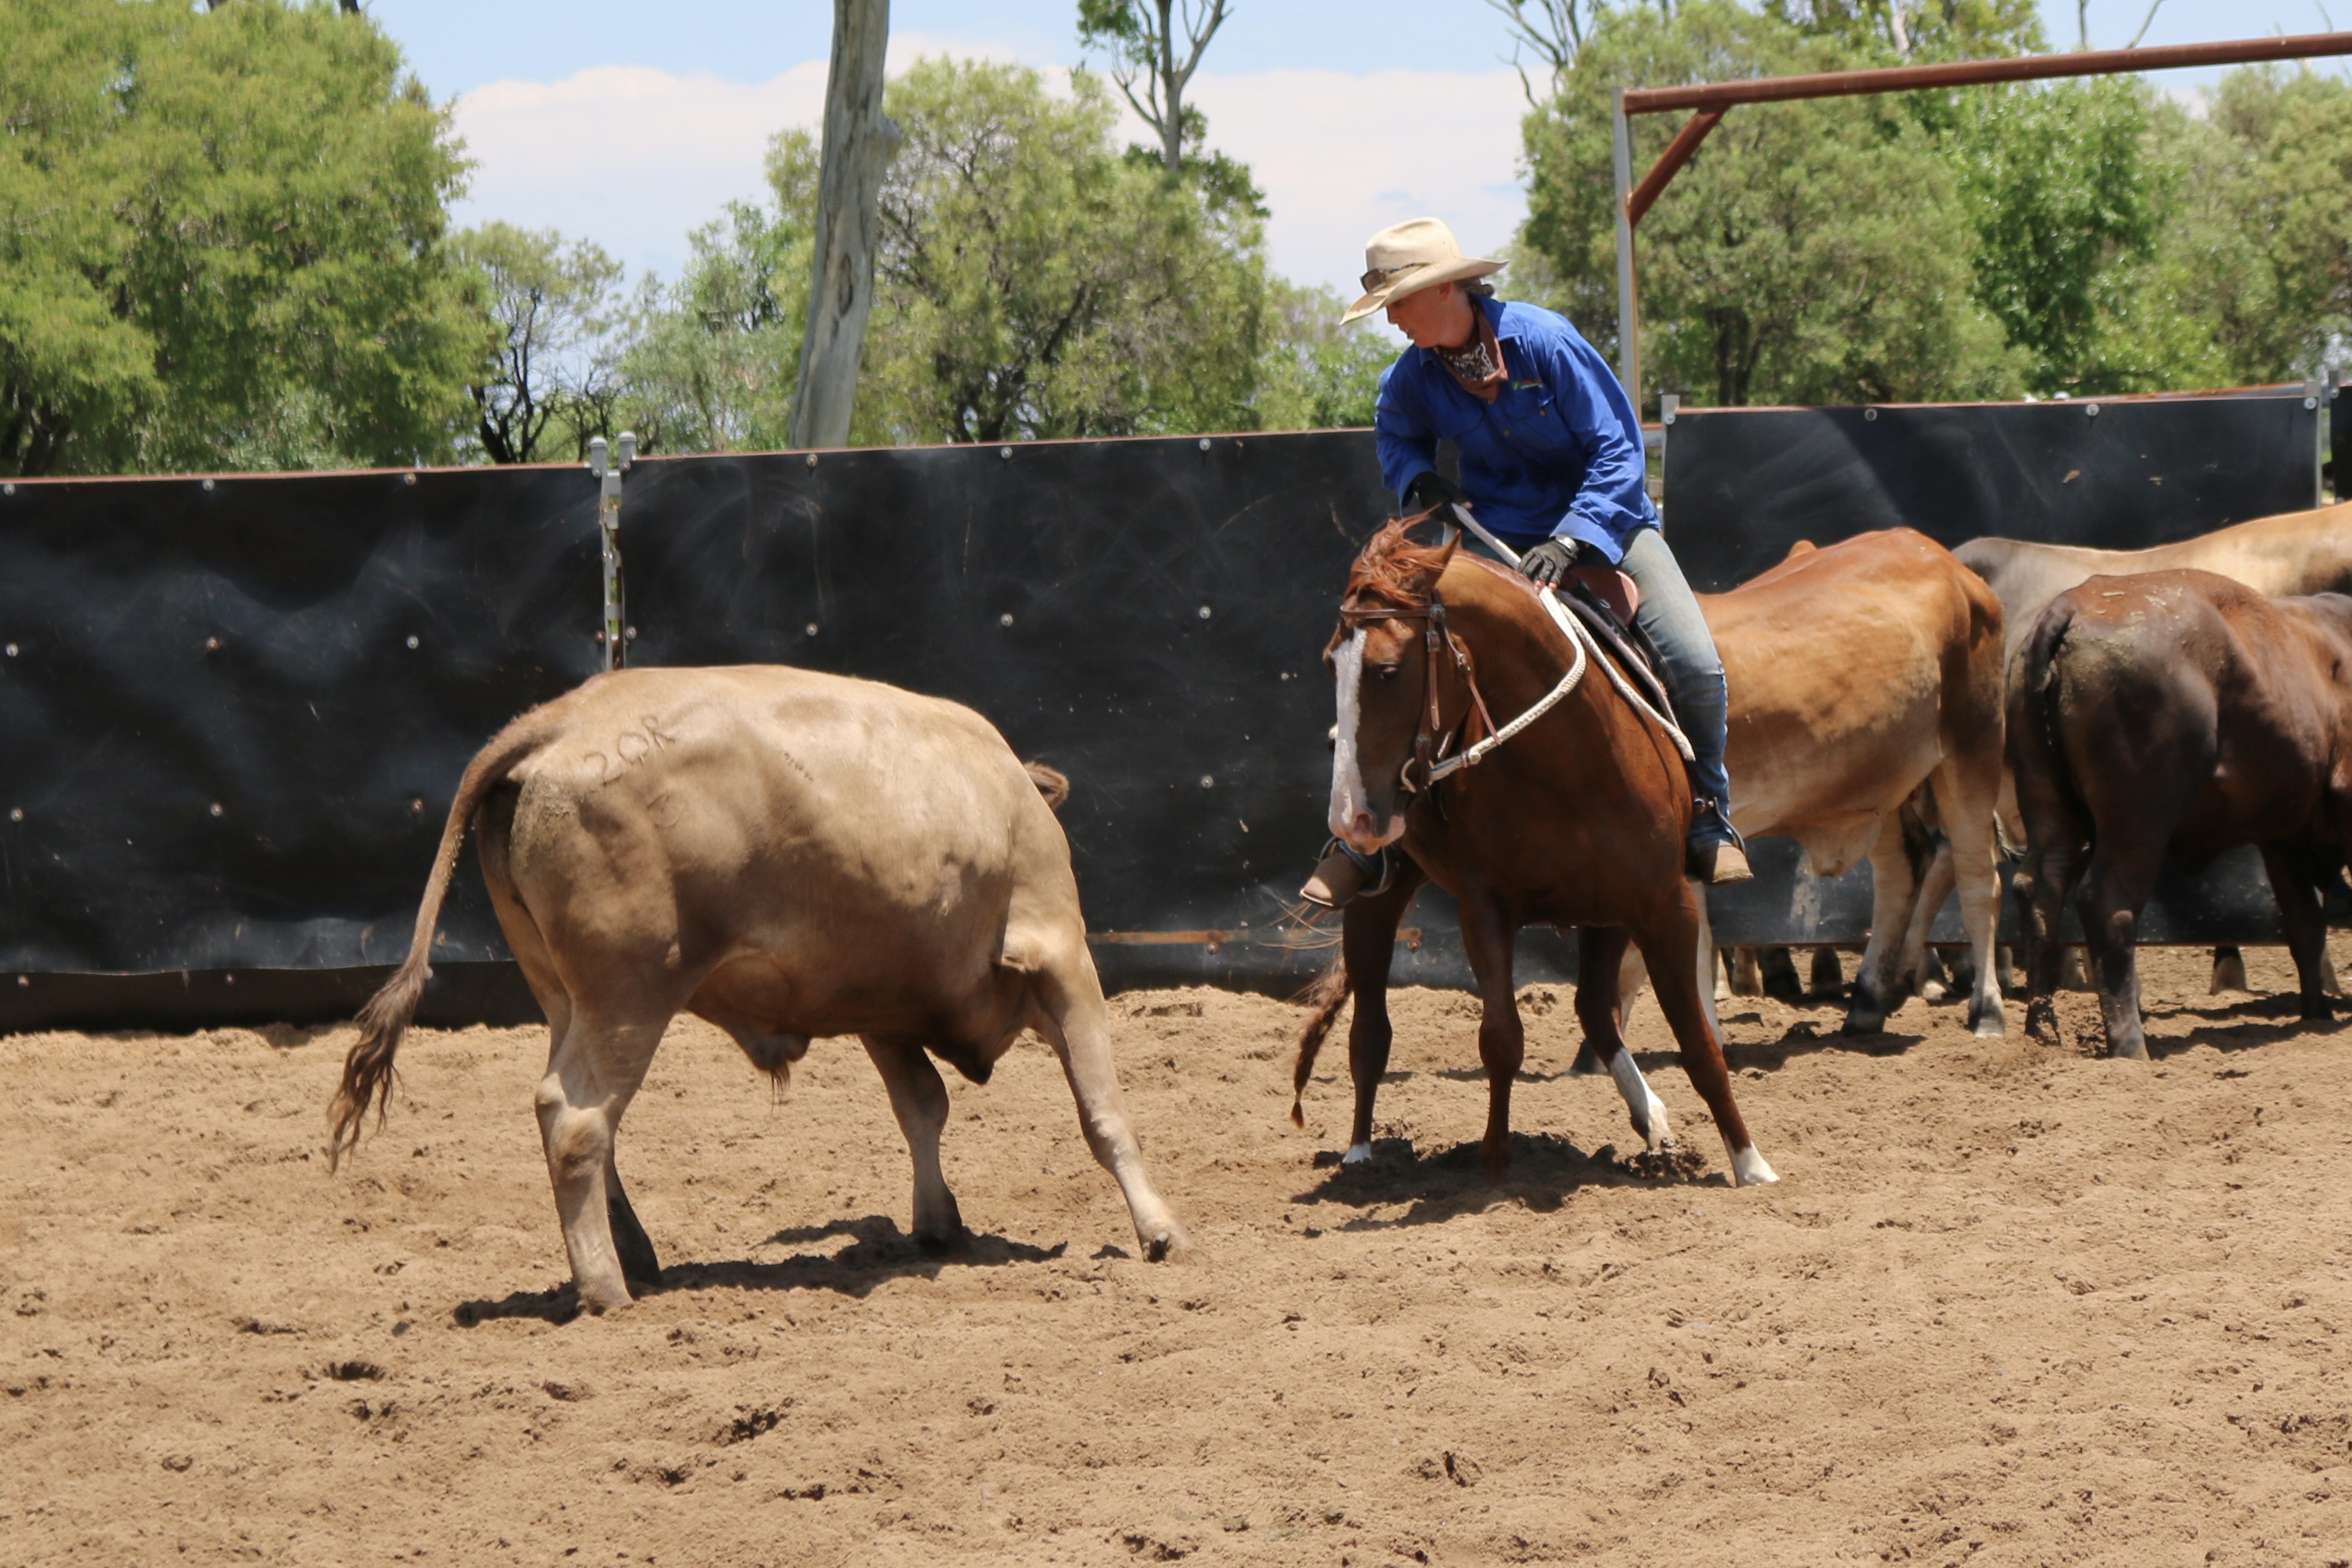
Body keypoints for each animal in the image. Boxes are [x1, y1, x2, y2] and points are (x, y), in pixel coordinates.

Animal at [328, 666, 1187, 1312]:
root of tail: (560, 720)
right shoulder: (1062, 956)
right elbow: (1103, 1113)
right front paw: (1159, 1230)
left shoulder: (882, 1005)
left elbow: (922, 1108)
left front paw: (938, 1223)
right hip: (630, 996)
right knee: (575, 1119)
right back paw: (606, 1288)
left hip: (564, 997)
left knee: (580, 1119)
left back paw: (633, 1253)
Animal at [1290, 519, 1775, 1188]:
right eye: (1330, 663)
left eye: (1387, 670)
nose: (1350, 815)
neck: (1570, 755)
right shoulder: (1485, 907)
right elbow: (1501, 1037)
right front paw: (1495, 1161)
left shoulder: (1662, 902)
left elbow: (1697, 1041)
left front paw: (1751, 1165)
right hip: (1378, 895)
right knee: (1370, 1032)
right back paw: (1361, 1155)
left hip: (1606, 911)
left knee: (1595, 1011)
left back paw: (1652, 1119)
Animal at [2010, 571, 2352, 1060]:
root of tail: (2075, 604)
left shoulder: (2281, 838)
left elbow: (2306, 925)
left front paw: (2317, 1013)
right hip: (2138, 822)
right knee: (2107, 903)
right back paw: (2131, 1046)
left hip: (2050, 810)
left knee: (2041, 890)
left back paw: (2041, 1032)